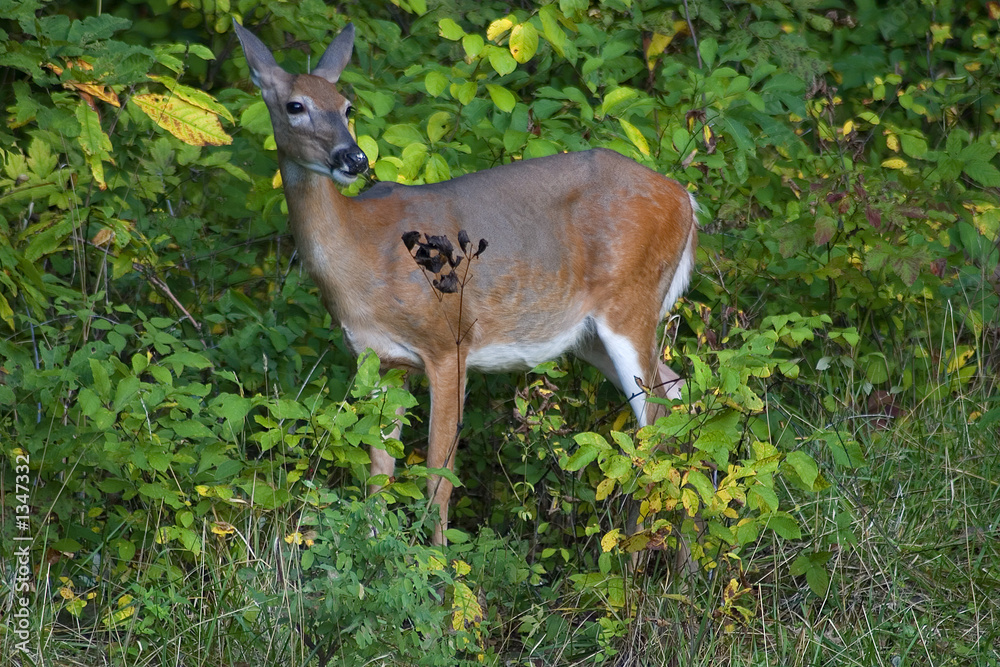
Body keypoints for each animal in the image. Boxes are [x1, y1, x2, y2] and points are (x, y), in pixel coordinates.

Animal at [234, 20, 704, 544]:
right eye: (295, 106)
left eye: (346, 106)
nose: (353, 158)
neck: (362, 254)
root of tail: (685, 199)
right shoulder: (379, 359)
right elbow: (379, 475)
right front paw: (373, 554)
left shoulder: (448, 342)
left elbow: (438, 479)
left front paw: (438, 562)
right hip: (590, 336)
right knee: (677, 395)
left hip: (630, 302)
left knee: (657, 426)